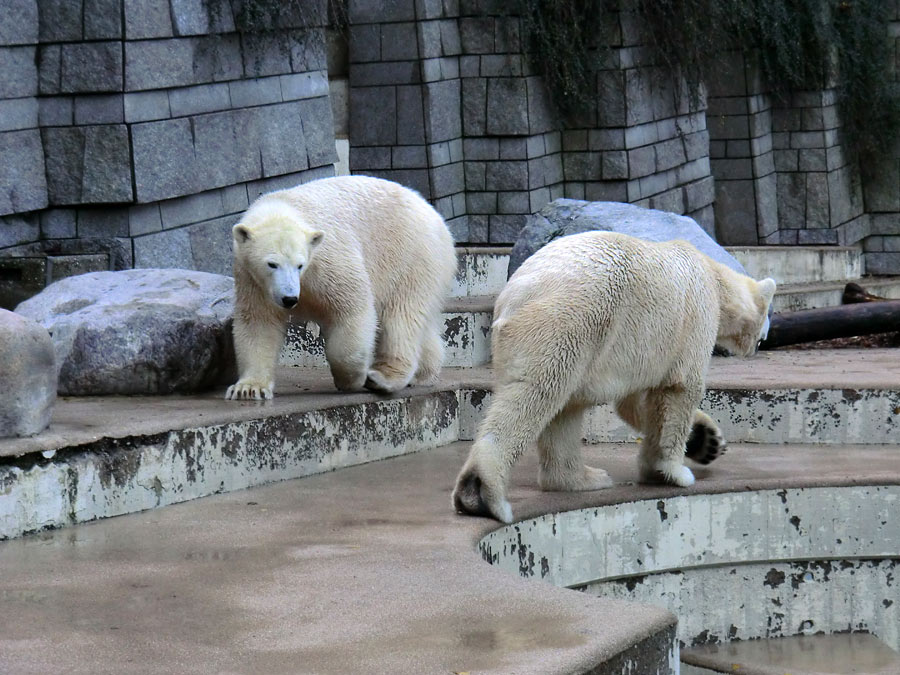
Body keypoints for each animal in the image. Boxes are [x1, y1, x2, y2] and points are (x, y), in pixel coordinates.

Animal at [225, 176, 458, 402]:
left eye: (300, 264)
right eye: (272, 264)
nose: (290, 298)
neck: (283, 207)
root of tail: (435, 216)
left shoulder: (328, 259)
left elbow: (352, 307)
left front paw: (350, 380)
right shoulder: (252, 279)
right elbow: (258, 322)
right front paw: (248, 389)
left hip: (410, 255)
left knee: (400, 316)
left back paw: (382, 377)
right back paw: (423, 373)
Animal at [454, 231, 776, 524]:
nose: (763, 341)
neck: (713, 275)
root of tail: (515, 294)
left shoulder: (646, 350)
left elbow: (637, 402)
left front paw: (706, 441)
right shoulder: (693, 322)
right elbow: (680, 389)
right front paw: (674, 472)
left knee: (563, 409)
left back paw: (583, 478)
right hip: (572, 320)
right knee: (537, 393)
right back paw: (483, 495)